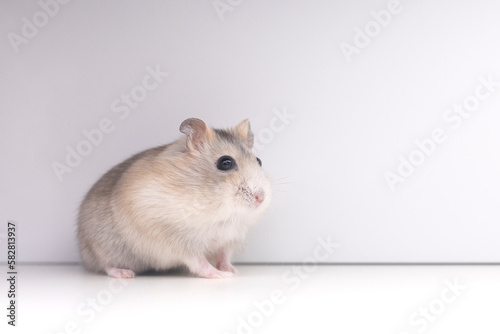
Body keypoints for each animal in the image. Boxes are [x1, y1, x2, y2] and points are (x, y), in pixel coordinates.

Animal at [77, 118, 274, 280]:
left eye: (259, 161)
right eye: (225, 163)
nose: (261, 197)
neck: (220, 215)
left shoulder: (228, 240)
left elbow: (224, 257)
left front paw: (233, 271)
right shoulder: (177, 240)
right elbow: (199, 262)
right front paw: (222, 276)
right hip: (103, 249)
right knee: (106, 265)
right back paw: (125, 273)